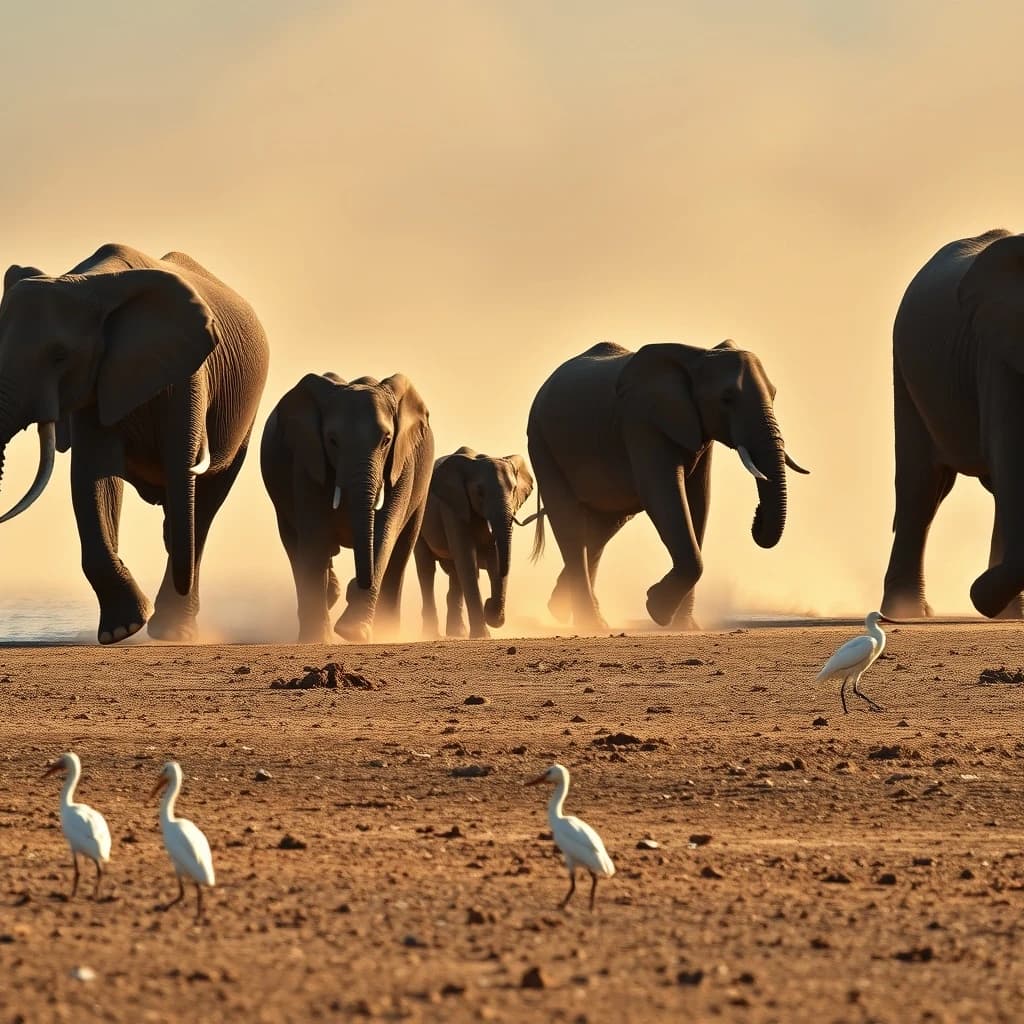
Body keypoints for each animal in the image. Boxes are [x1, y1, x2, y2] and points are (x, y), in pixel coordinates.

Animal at [0, 243, 269, 643]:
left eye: (60, 356)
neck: (89, 284)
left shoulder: (186, 371)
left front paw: (135, 628)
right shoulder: (97, 381)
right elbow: (93, 477)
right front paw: (121, 630)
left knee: (203, 505)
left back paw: (174, 630)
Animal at [260, 371, 434, 643]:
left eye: (386, 440)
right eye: (332, 441)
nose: (358, 583)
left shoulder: (402, 465)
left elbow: (384, 532)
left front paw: (353, 632)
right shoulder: (308, 459)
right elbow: (315, 535)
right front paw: (319, 640)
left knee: (402, 551)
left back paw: (386, 631)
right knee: (295, 543)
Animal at [414, 447, 534, 638]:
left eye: (514, 489)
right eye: (480, 492)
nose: (489, 603)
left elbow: (492, 559)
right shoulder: (453, 506)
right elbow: (468, 560)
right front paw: (483, 635)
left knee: (455, 572)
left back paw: (457, 633)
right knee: (426, 568)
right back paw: (431, 635)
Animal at [527, 340, 808, 631]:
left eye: (774, 394)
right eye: (727, 398)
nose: (757, 516)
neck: (698, 356)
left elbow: (699, 502)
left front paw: (685, 627)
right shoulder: (642, 423)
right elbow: (665, 497)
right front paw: (657, 609)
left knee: (604, 525)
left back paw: (560, 610)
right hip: (541, 441)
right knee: (569, 522)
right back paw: (592, 626)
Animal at [882, 229, 1024, 620]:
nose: (974, 592)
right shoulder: (998, 354)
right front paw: (982, 595)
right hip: (906, 372)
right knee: (922, 487)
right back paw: (907, 612)